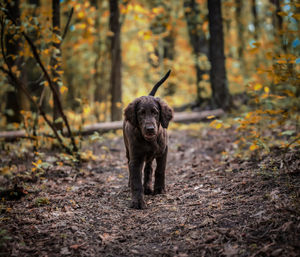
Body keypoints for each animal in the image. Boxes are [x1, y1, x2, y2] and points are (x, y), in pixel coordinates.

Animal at [122, 70, 173, 208]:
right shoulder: (135, 158)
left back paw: (148, 187)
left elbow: (160, 170)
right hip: (127, 150)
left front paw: (159, 189)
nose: (150, 129)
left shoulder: (164, 151)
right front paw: (138, 202)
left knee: (149, 168)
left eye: (155, 112)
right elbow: (136, 180)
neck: (150, 141)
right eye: (141, 113)